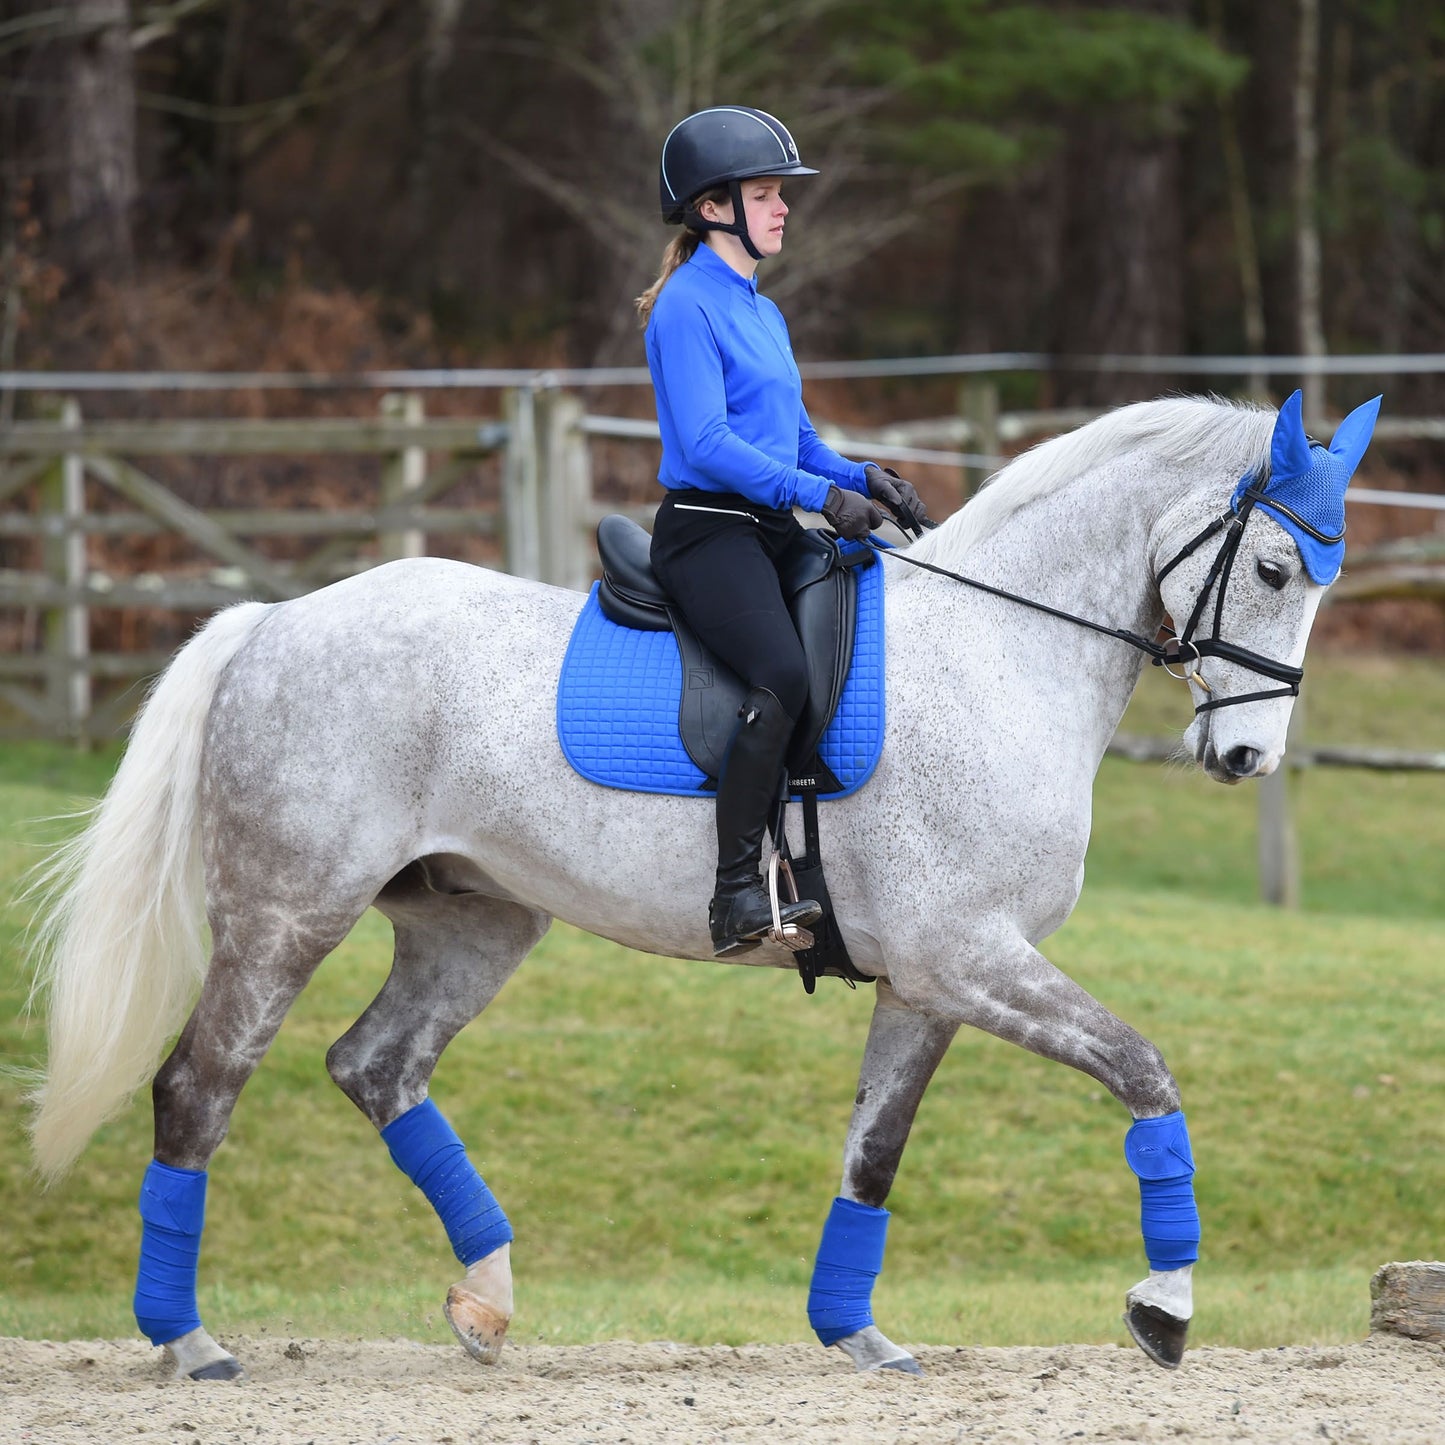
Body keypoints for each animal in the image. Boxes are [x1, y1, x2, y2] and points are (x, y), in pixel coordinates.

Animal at [25, 390, 1375, 1381]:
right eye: (1270, 568)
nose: (1243, 758)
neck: (1001, 653)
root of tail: (271, 619)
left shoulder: (930, 982)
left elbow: (872, 1151)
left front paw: (855, 1334)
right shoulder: (969, 957)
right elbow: (1143, 1068)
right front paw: (1163, 1305)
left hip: (475, 921)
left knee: (377, 1066)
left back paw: (485, 1301)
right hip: (287, 915)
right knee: (198, 1088)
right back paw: (190, 1341)